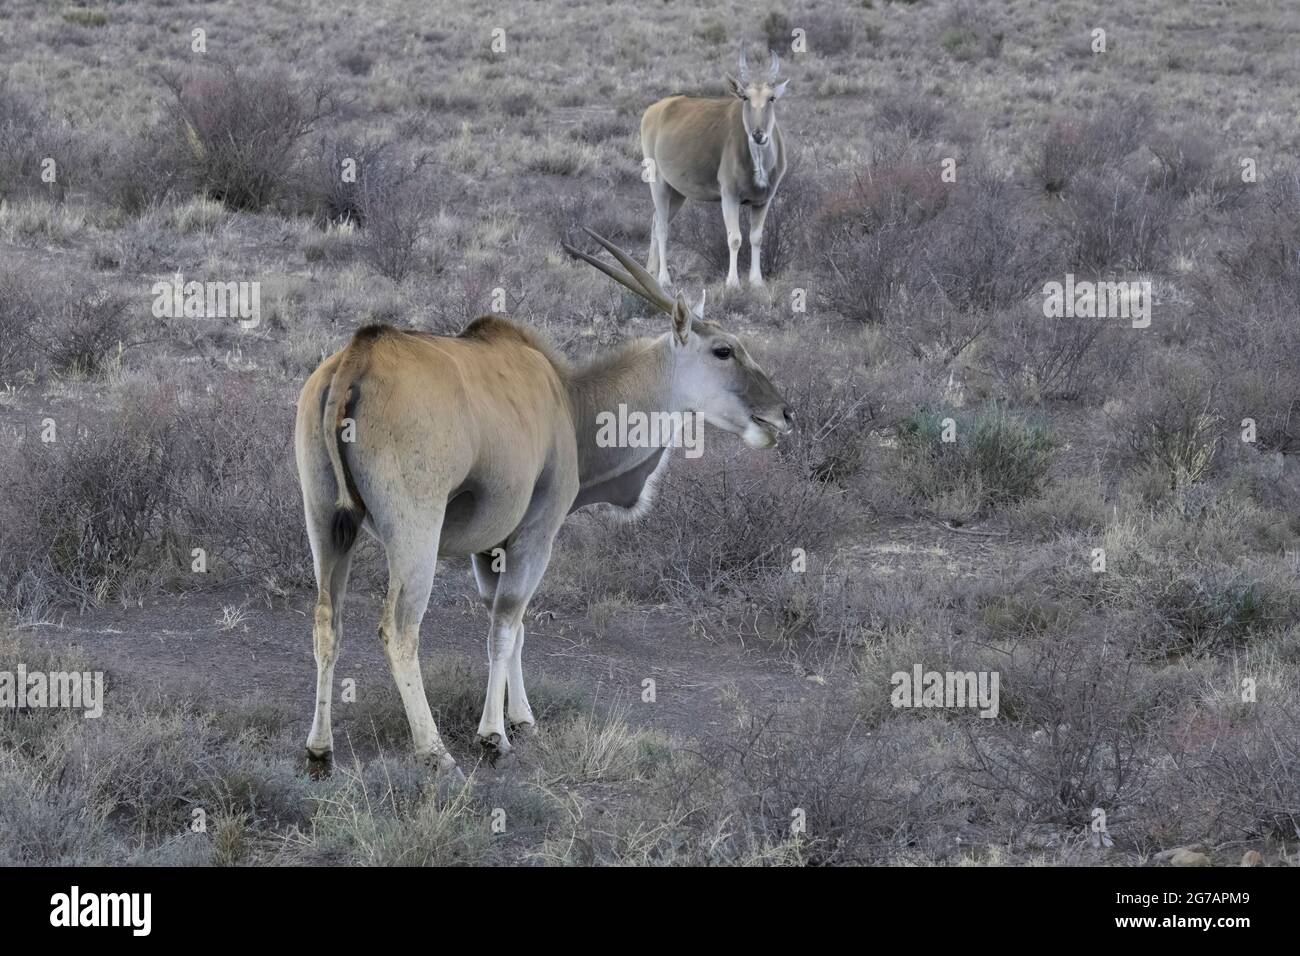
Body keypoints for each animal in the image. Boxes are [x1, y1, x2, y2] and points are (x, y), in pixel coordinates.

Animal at [295, 230, 790, 780]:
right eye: (724, 350)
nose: (782, 414)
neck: (569, 400)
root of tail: (357, 357)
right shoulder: (536, 534)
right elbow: (506, 623)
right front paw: (494, 735)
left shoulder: (490, 549)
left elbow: (510, 624)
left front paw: (522, 719)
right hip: (415, 533)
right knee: (400, 628)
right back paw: (434, 751)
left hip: (326, 524)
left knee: (326, 620)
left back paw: (320, 749)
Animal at [642, 50, 785, 287]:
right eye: (745, 97)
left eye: (771, 98)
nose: (758, 134)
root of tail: (654, 110)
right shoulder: (729, 197)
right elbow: (735, 238)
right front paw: (733, 283)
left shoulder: (763, 200)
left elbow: (756, 238)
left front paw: (756, 282)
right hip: (659, 183)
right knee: (661, 227)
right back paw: (663, 279)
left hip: (678, 192)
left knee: (655, 222)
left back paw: (650, 273)